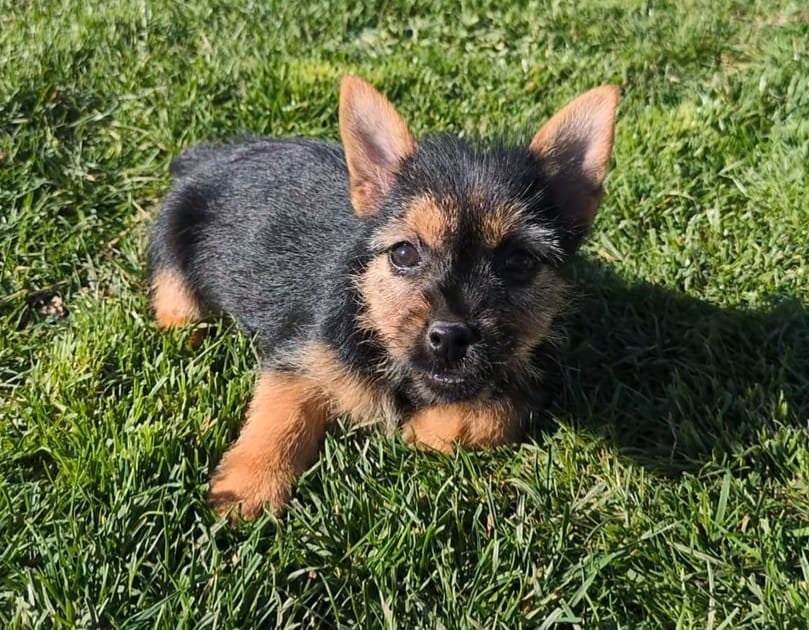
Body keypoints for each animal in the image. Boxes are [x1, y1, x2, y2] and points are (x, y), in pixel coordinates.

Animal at [148, 75, 619, 520]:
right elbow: (280, 418)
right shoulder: (301, 356)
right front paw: (248, 490)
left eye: (519, 261)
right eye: (404, 253)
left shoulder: (529, 377)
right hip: (171, 241)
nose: (450, 337)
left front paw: (424, 430)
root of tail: (210, 157)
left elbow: (495, 414)